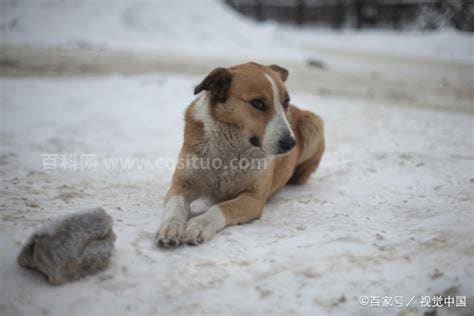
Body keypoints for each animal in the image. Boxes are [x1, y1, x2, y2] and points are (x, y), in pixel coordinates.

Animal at [156, 61, 326, 248]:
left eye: (286, 101)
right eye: (258, 103)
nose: (290, 144)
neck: (228, 154)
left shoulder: (253, 198)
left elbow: (221, 207)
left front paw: (199, 224)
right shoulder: (182, 185)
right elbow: (176, 206)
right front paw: (170, 227)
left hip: (313, 123)